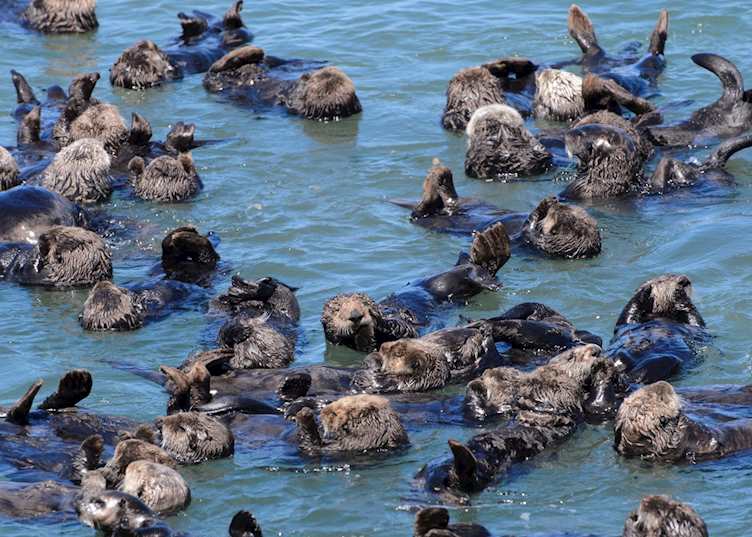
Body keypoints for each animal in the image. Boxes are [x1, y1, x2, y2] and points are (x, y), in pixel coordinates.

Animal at [110, 2, 251, 89]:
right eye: (146, 56)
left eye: (125, 56)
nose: (147, 42)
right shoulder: (174, 73)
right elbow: (172, 68)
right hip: (238, 34)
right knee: (232, 21)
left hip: (197, 32)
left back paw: (186, 17)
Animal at [322, 222, 511, 352]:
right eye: (338, 310)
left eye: (364, 303)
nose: (356, 316)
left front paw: (377, 318)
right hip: (445, 284)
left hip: (435, 280)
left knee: (472, 266)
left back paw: (490, 242)